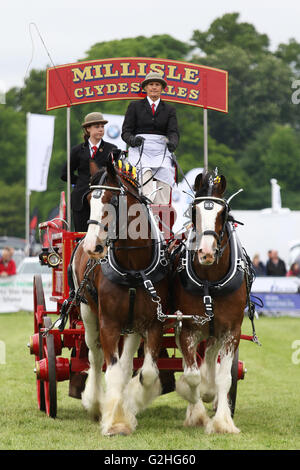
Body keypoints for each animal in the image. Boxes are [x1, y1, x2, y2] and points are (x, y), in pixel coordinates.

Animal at [70, 159, 169, 436]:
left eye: (112, 200)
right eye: (88, 200)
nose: (92, 246)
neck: (134, 267)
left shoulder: (154, 322)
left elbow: (147, 372)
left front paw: (132, 403)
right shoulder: (109, 323)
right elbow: (110, 370)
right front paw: (115, 422)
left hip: (133, 324)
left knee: (126, 364)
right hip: (87, 311)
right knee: (95, 357)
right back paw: (94, 403)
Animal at [173, 169, 248, 434]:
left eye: (222, 212)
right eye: (194, 211)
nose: (205, 253)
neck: (210, 282)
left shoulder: (231, 331)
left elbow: (225, 377)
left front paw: (223, 421)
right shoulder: (188, 328)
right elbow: (192, 376)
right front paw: (196, 414)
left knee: (210, 356)